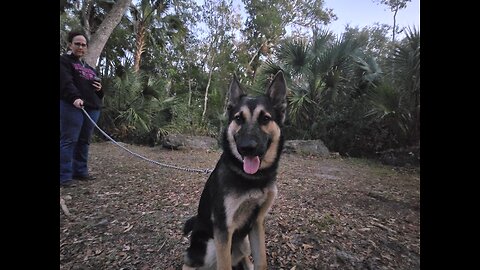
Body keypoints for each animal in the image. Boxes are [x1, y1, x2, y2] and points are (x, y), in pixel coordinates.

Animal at [182, 70, 286, 268]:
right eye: (238, 119)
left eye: (265, 119)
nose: (247, 148)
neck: (254, 178)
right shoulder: (223, 229)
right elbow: (225, 266)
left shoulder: (257, 222)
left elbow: (261, 262)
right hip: (211, 246)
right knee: (190, 262)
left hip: (244, 242)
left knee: (243, 257)